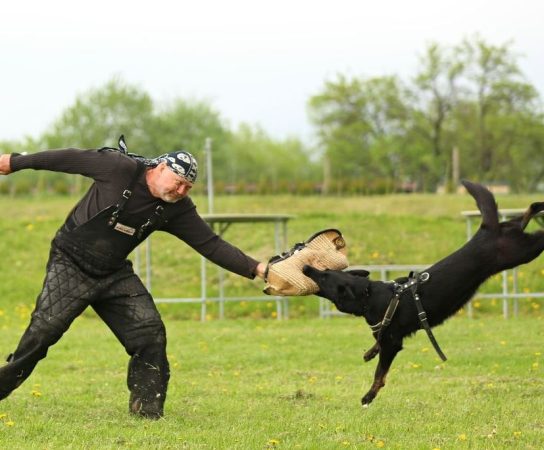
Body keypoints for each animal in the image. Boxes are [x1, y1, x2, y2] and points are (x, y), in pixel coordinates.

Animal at [302, 180, 544, 408]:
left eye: (324, 278)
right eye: (325, 271)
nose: (305, 267)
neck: (371, 296)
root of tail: (486, 229)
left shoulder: (393, 343)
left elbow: (380, 373)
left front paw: (368, 396)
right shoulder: (386, 335)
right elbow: (377, 343)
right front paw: (370, 353)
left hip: (521, 252)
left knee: (537, 227)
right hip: (515, 238)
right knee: (525, 214)